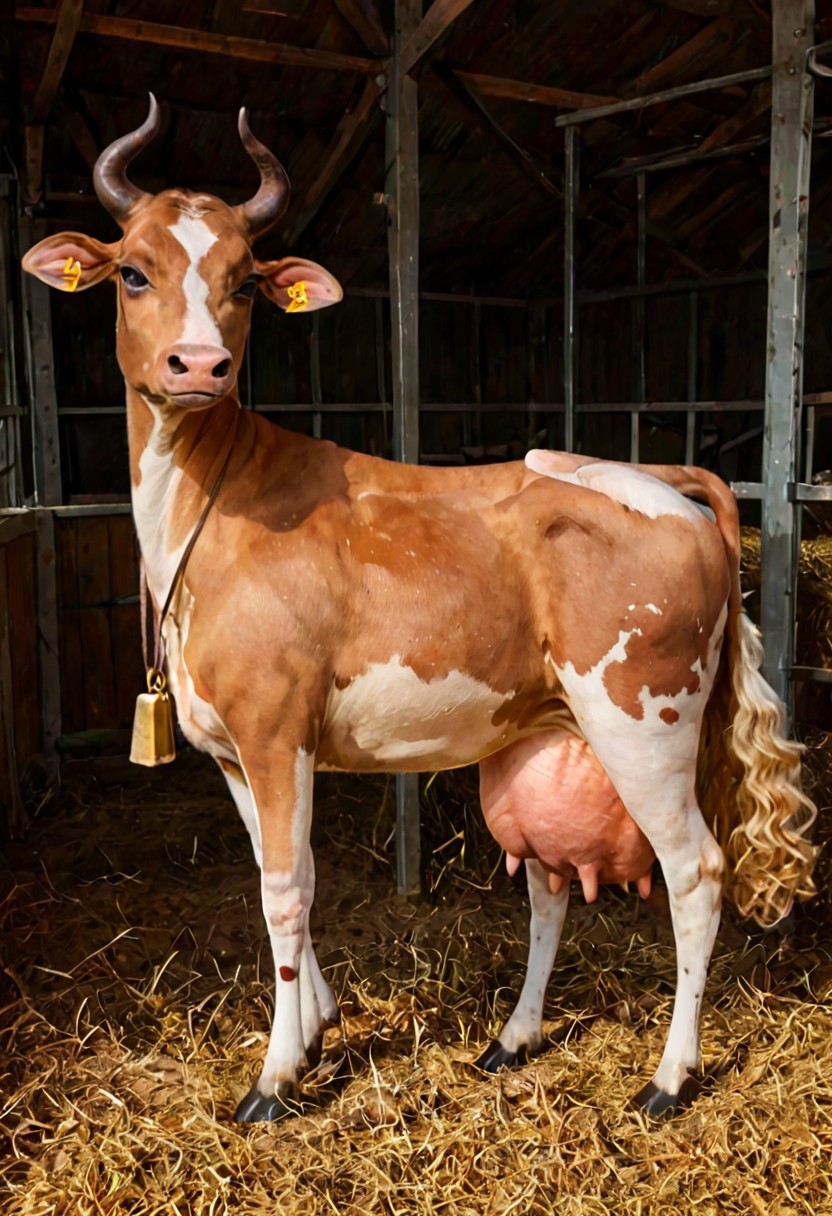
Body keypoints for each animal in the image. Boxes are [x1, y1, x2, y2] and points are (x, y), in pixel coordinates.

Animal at [23, 96, 816, 1123]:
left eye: (243, 283)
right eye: (132, 271)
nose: (199, 364)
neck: (201, 513)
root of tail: (661, 480)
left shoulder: (278, 728)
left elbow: (287, 890)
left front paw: (277, 1075)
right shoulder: (232, 744)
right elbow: (275, 871)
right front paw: (316, 1028)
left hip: (647, 720)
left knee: (697, 874)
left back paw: (669, 1077)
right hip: (546, 729)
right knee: (548, 888)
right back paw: (514, 1037)